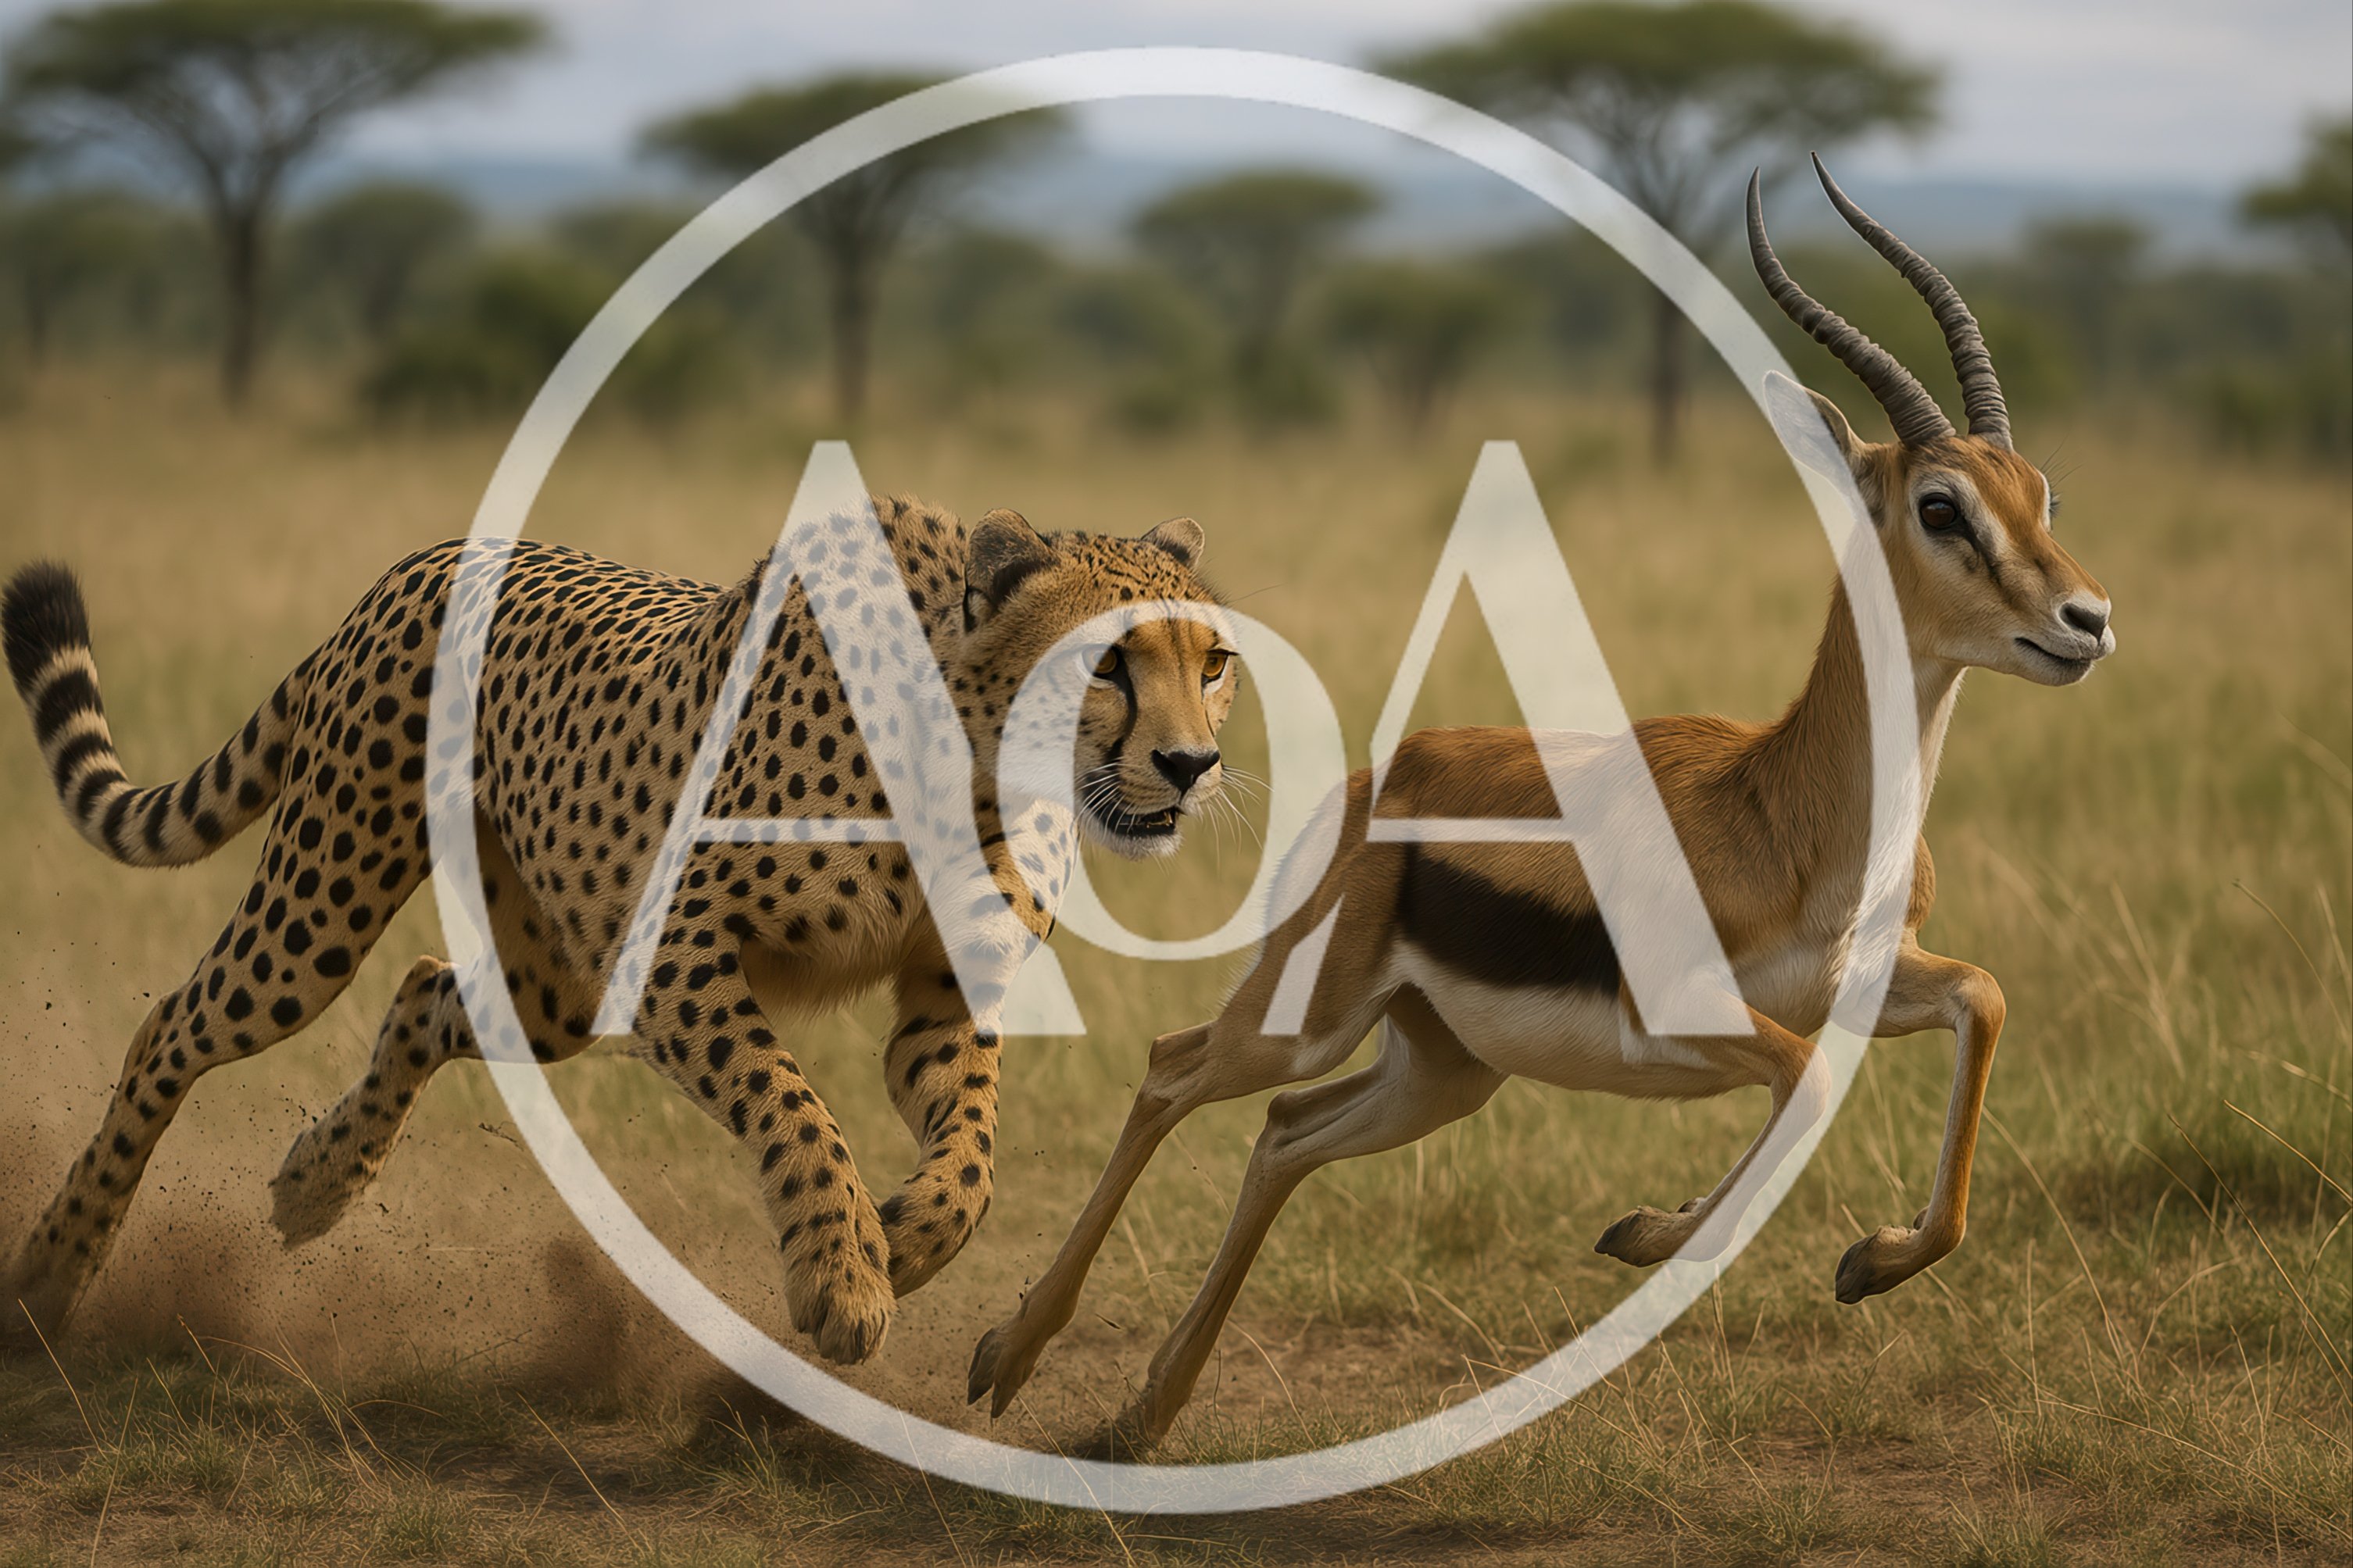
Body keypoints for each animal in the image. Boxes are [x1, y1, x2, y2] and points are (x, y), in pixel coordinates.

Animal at [2, 495, 1237, 1364]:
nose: (1190, 764)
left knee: (422, 990)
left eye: (1212, 661)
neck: (974, 759)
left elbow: (974, 1145)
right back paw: (53, 1269)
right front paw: (840, 1273)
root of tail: (432, 556)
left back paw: (318, 1177)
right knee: (173, 1027)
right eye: (1105, 661)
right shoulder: (674, 950)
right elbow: (794, 1104)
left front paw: (915, 1235)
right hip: (324, 902)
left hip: (557, 975)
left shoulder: (940, 991)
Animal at [965, 158, 2116, 1448]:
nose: (2084, 620)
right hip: (1308, 1015)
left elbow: (1979, 996)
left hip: (1440, 1070)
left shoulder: (1859, 981)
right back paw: (1010, 1356)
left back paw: (1144, 1411)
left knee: (1284, 1134)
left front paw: (1864, 1259)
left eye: (2040, 493)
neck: (1791, 817)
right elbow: (1805, 1081)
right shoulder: (1686, 1019)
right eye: (1938, 505)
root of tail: (1365, 790)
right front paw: (1649, 1229)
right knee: (1172, 1070)